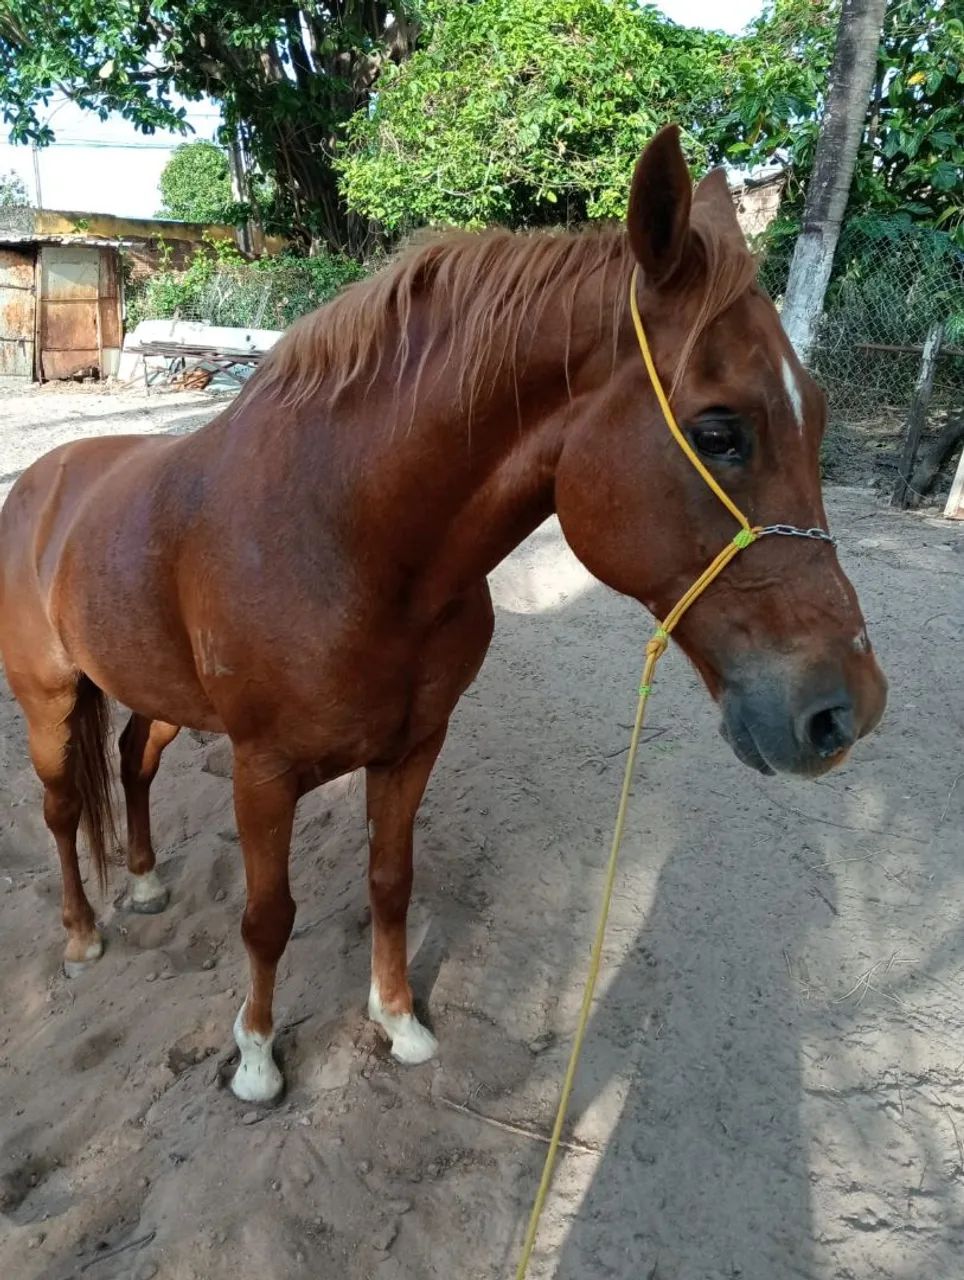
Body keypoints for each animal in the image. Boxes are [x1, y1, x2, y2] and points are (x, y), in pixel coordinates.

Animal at [0, 127, 886, 1104]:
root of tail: (40, 486)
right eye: (720, 431)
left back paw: (148, 883)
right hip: (50, 704)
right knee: (60, 811)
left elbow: (391, 881)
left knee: (131, 761)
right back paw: (84, 933)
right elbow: (268, 915)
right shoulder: (262, 770)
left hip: (157, 694)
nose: (846, 708)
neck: (350, 544)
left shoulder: (413, 746)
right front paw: (258, 1057)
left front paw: (397, 1022)